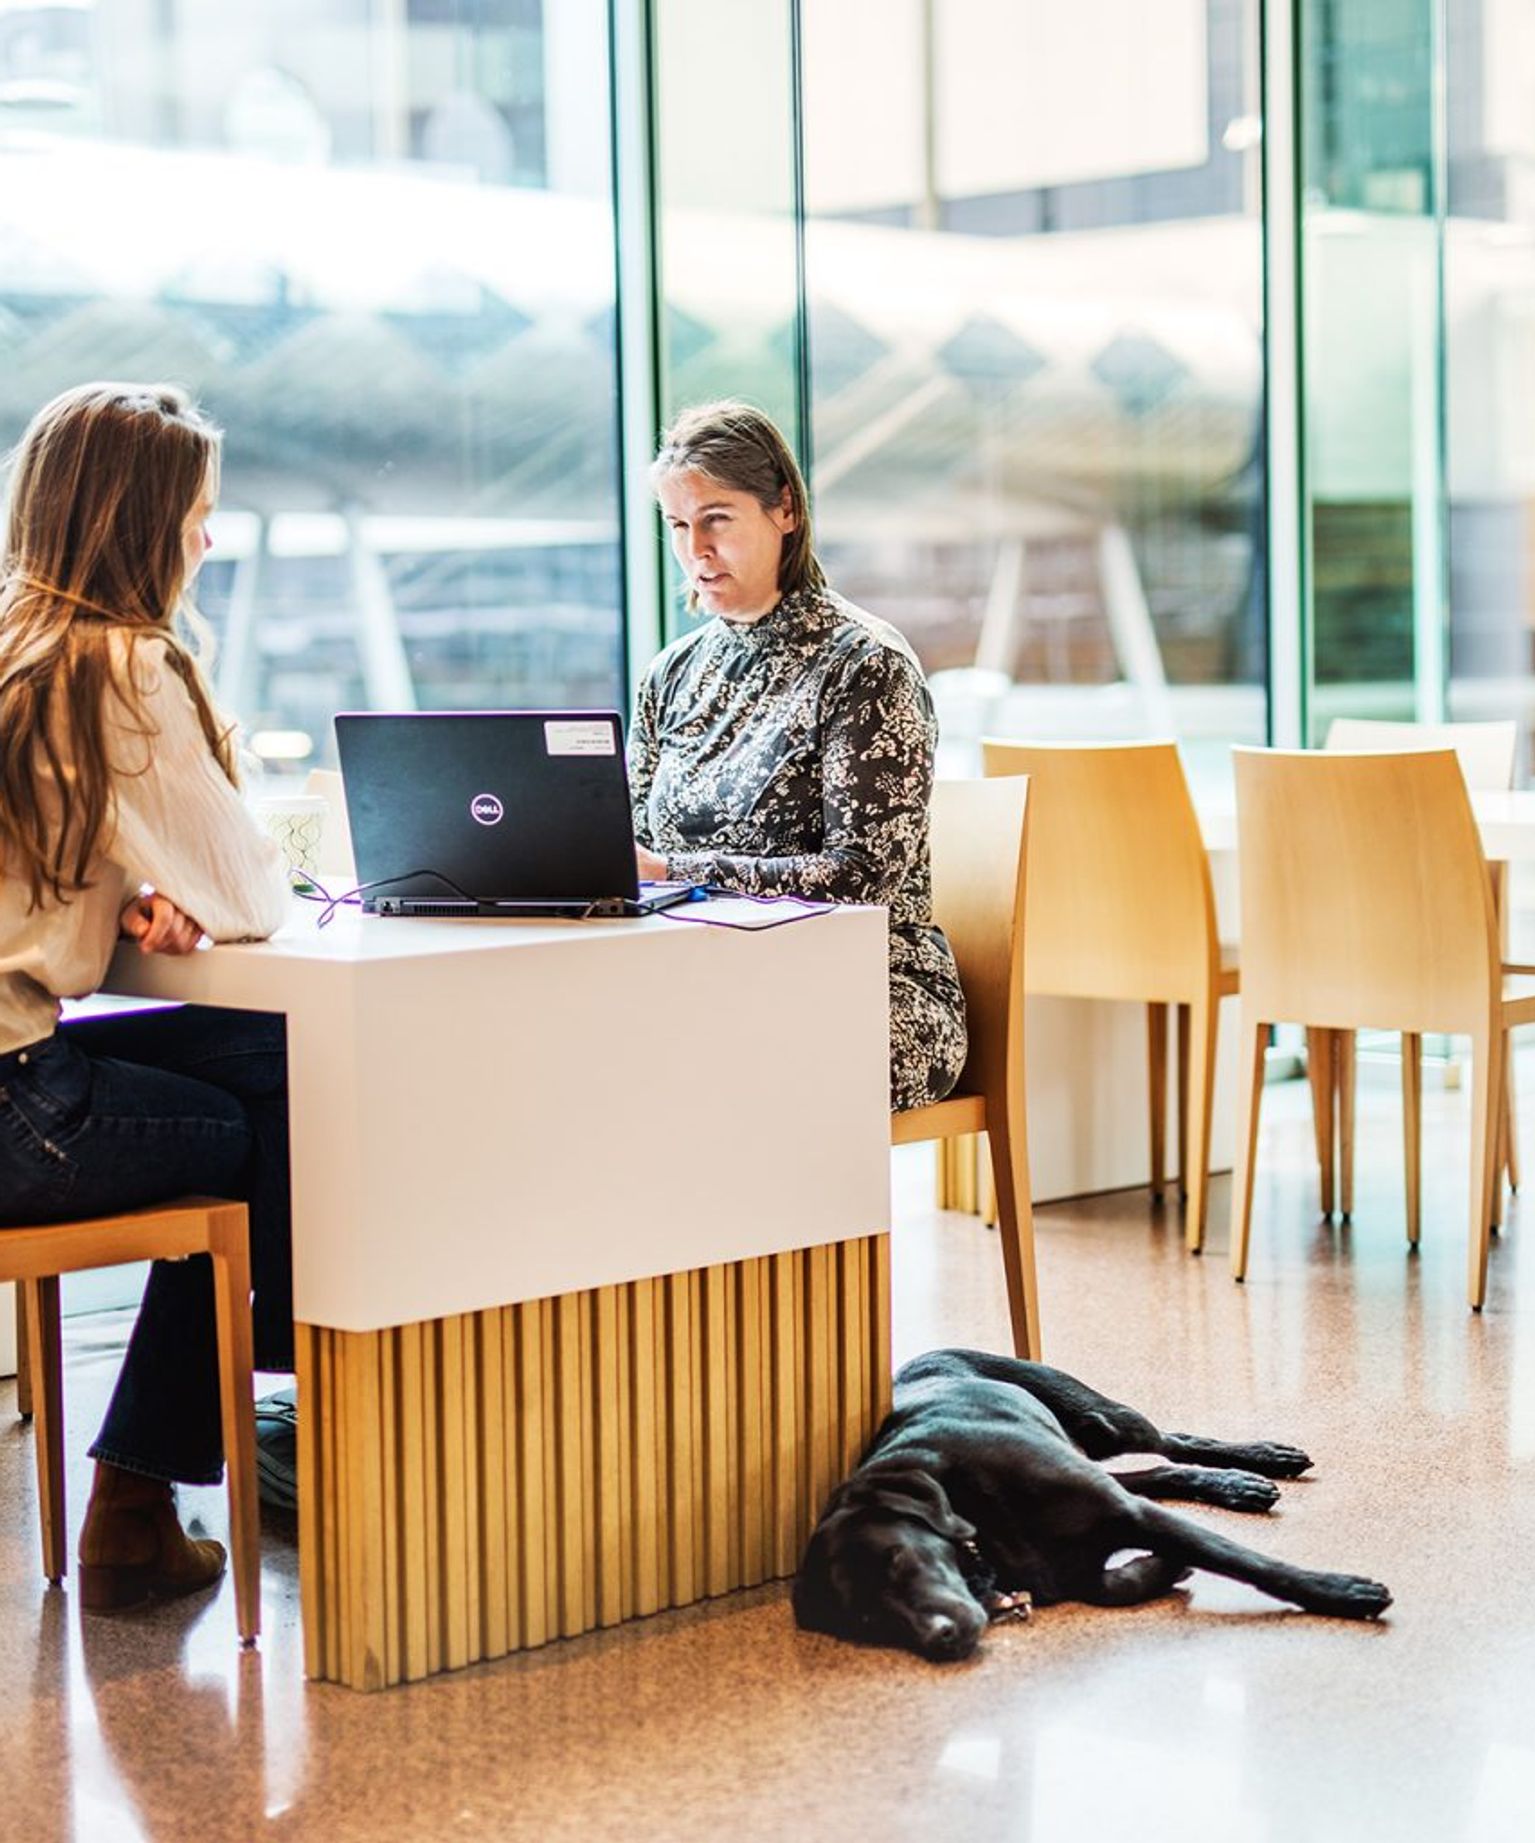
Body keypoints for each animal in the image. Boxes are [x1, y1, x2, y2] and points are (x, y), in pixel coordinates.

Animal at [796, 1349, 1393, 1666]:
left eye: (899, 1559)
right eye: (868, 1618)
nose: (939, 1639)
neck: (983, 1526)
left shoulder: (1135, 1515)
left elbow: (1247, 1562)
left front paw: (1342, 1591)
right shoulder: (1084, 1558)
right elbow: (1109, 1586)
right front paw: (1161, 1568)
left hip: (1106, 1419)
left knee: (1172, 1441)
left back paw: (1262, 1460)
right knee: (1157, 1472)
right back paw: (1232, 1486)